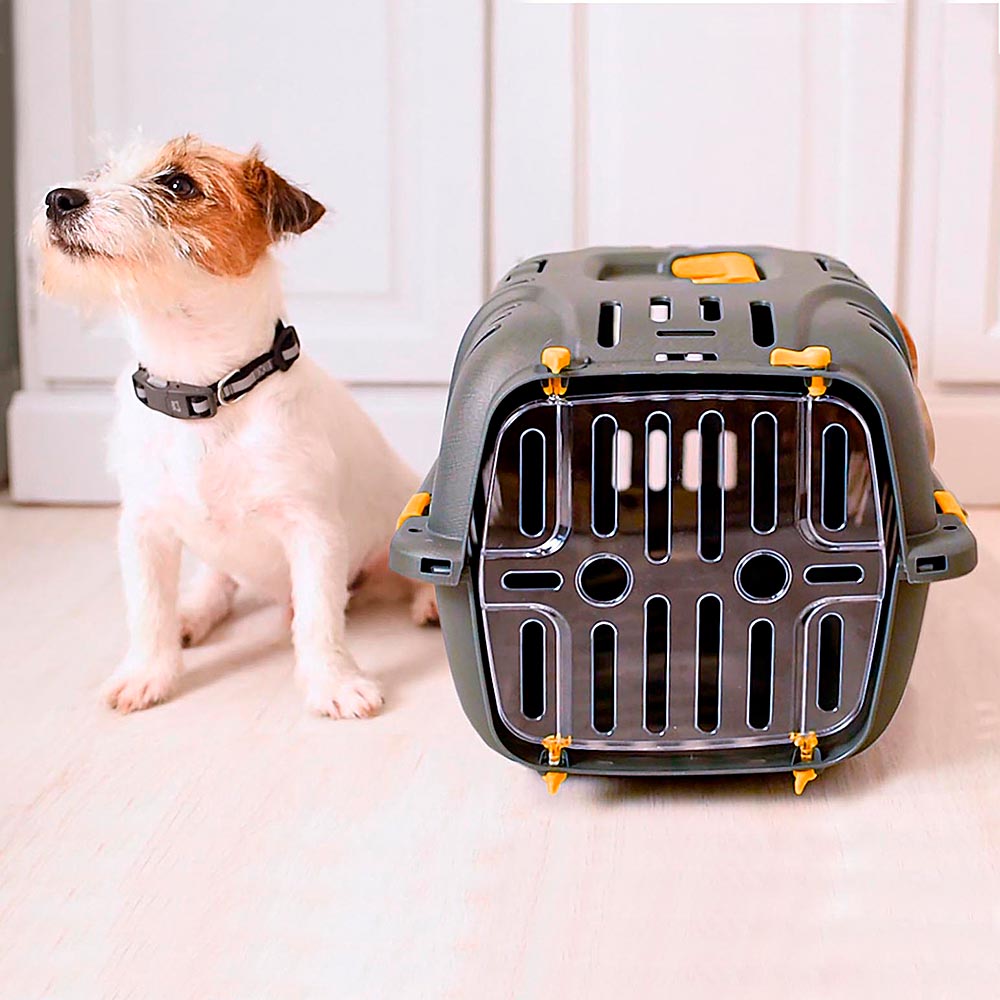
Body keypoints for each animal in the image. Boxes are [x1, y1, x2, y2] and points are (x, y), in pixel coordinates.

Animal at [34, 135, 437, 718]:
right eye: (101, 172)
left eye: (178, 183)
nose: (58, 198)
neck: (200, 391)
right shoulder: (144, 527)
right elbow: (148, 610)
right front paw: (147, 673)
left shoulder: (312, 530)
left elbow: (319, 619)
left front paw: (334, 683)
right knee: (217, 581)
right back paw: (193, 612)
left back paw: (428, 603)